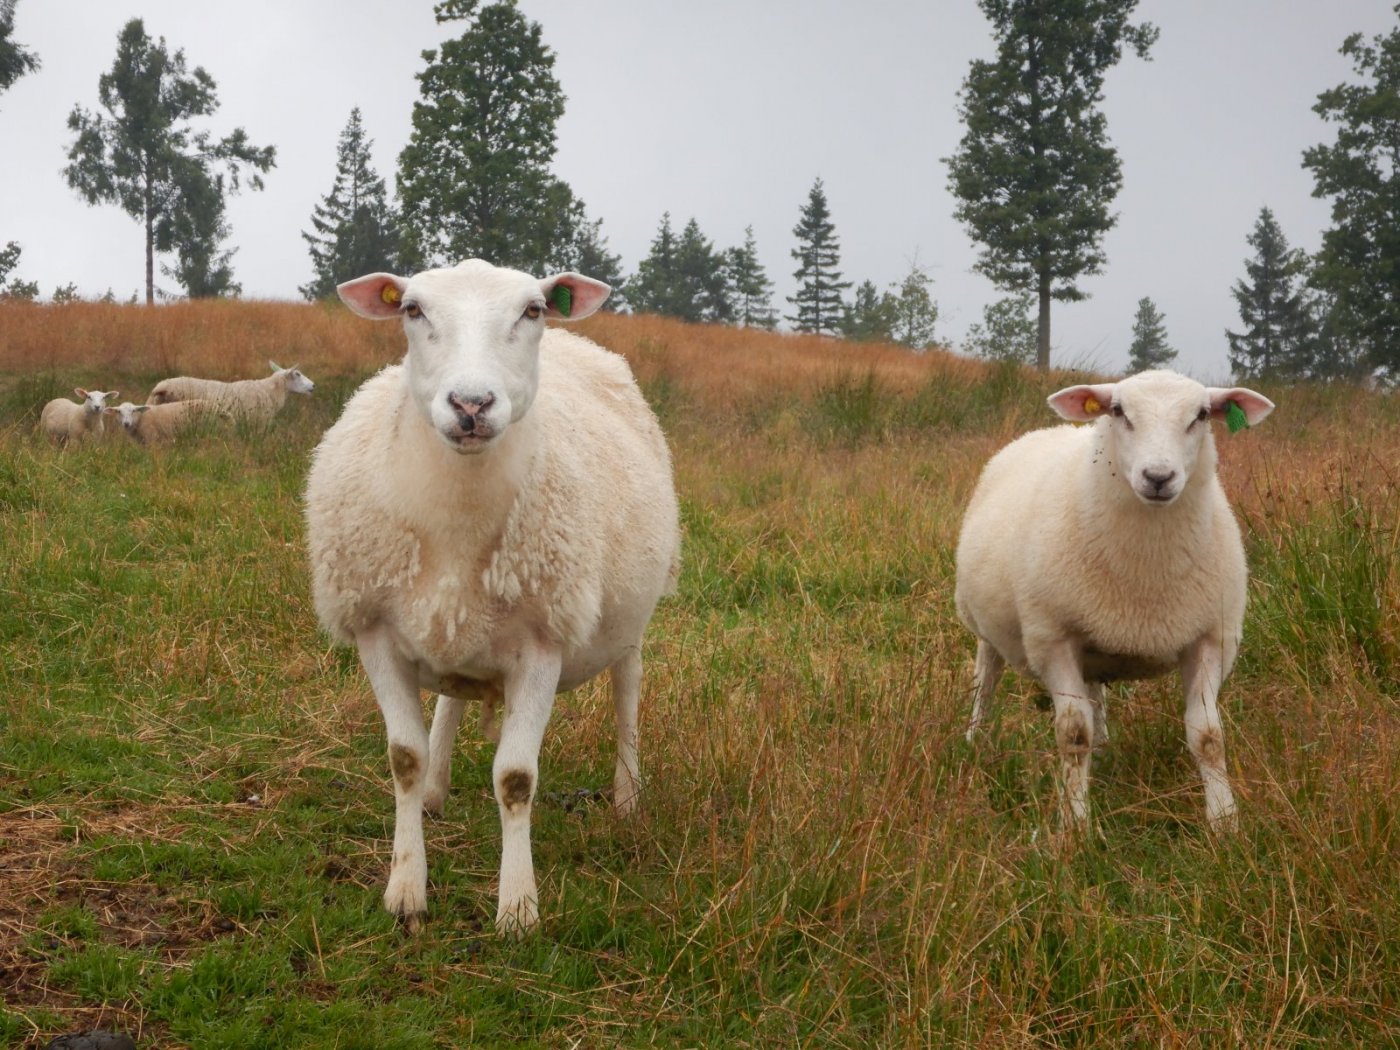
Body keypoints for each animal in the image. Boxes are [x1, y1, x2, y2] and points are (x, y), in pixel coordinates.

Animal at [305, 259, 681, 935]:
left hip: (629, 621)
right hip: (456, 626)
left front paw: (518, 909)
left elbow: (515, 779)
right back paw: (436, 788)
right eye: (413, 310)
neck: (456, 521)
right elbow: (403, 758)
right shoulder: (376, 632)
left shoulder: (543, 645)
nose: (471, 404)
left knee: (628, 695)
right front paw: (406, 890)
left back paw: (627, 796)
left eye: (533, 310)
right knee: (452, 697)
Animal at [955, 369, 1274, 832]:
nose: (1158, 476)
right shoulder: (1053, 639)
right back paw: (974, 740)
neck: (1146, 572)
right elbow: (1074, 735)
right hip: (987, 626)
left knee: (1094, 694)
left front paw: (1224, 824)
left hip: (1095, 636)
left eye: (1201, 415)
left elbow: (1208, 737)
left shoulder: (1211, 638)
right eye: (1119, 411)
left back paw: (1104, 753)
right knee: (986, 681)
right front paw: (1074, 828)